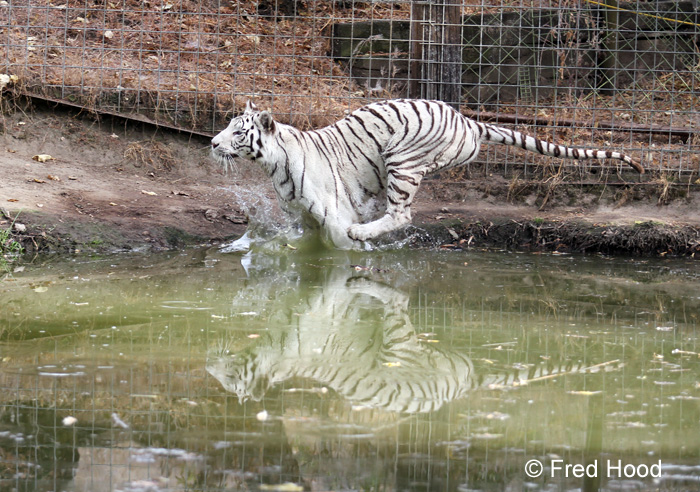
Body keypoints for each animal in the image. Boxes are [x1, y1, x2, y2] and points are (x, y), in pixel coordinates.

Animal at [211, 99, 644, 249]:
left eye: (238, 131)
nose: (213, 143)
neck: (274, 164)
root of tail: (469, 121)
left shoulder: (332, 214)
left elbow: (339, 246)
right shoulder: (302, 216)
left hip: (402, 160)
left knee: (402, 215)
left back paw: (364, 232)